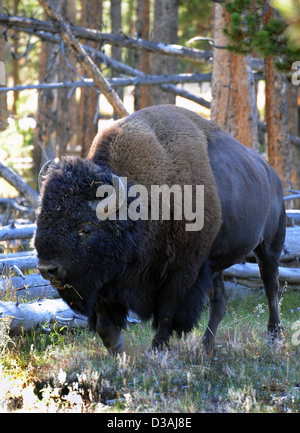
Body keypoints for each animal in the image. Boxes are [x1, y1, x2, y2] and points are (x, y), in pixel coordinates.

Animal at [34, 105, 286, 354]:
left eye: (86, 228)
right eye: (40, 218)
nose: (48, 269)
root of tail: (271, 174)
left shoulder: (181, 273)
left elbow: (166, 314)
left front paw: (157, 350)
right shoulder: (106, 277)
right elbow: (105, 324)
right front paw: (118, 352)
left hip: (270, 246)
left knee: (270, 287)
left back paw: (274, 337)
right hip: (215, 265)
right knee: (219, 302)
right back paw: (205, 346)